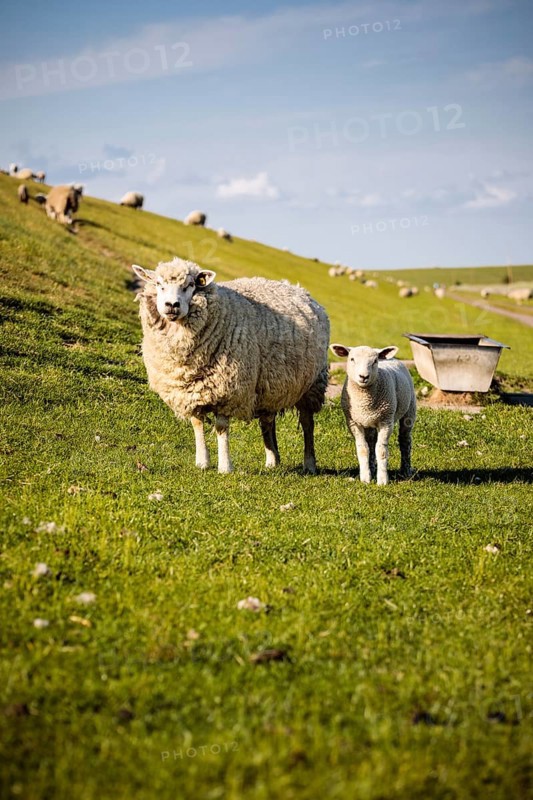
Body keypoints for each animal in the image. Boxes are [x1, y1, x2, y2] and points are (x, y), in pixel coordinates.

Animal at [132, 257, 330, 474]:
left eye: (190, 285)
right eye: (159, 284)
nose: (172, 305)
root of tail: (300, 290)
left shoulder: (227, 391)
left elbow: (221, 428)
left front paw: (225, 466)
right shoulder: (191, 393)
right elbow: (197, 424)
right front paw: (202, 462)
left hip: (312, 384)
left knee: (307, 423)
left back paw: (309, 463)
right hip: (268, 385)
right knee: (267, 422)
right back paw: (272, 460)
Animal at [330, 343, 416, 485]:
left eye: (375, 361)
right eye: (352, 359)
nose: (363, 376)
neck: (365, 402)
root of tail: (393, 358)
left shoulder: (386, 421)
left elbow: (381, 450)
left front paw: (382, 480)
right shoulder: (354, 423)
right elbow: (363, 449)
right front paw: (365, 478)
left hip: (409, 411)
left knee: (405, 440)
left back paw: (405, 470)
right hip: (370, 422)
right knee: (371, 443)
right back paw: (372, 468)